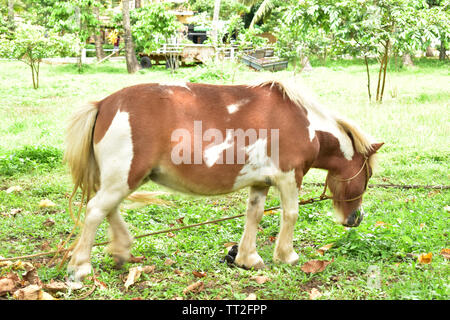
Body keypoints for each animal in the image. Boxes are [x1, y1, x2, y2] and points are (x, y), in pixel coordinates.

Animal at [65, 79, 382, 282]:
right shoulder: (289, 177)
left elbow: (253, 215)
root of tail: (104, 104)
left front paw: (247, 259)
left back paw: (121, 248)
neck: (306, 126)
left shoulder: (261, 182)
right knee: (96, 211)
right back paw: (81, 266)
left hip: (122, 179)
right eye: (367, 175)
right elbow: (290, 214)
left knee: (108, 209)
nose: (356, 218)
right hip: (123, 179)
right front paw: (286, 255)